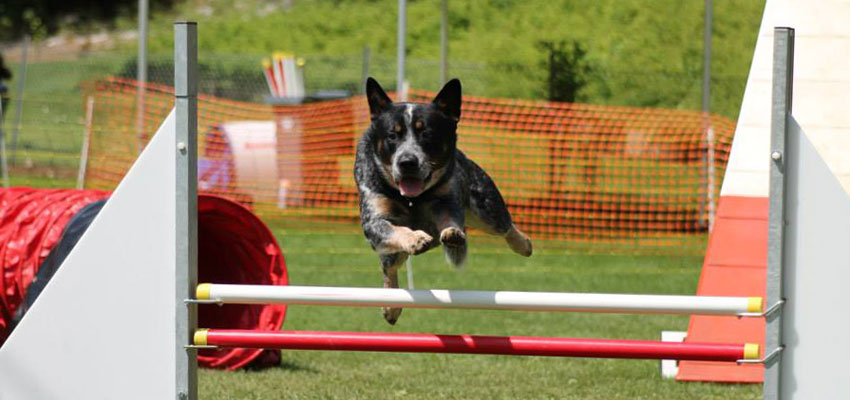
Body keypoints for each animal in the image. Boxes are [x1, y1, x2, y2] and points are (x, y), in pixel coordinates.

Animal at [352, 77, 528, 324]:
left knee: (505, 226)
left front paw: (452, 233)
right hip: (392, 252)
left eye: (426, 134)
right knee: (390, 267)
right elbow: (395, 231)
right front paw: (415, 238)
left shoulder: (446, 202)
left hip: (488, 208)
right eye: (392, 135)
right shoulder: (373, 222)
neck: (413, 199)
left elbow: (449, 220)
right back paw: (391, 306)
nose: (407, 162)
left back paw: (524, 244)